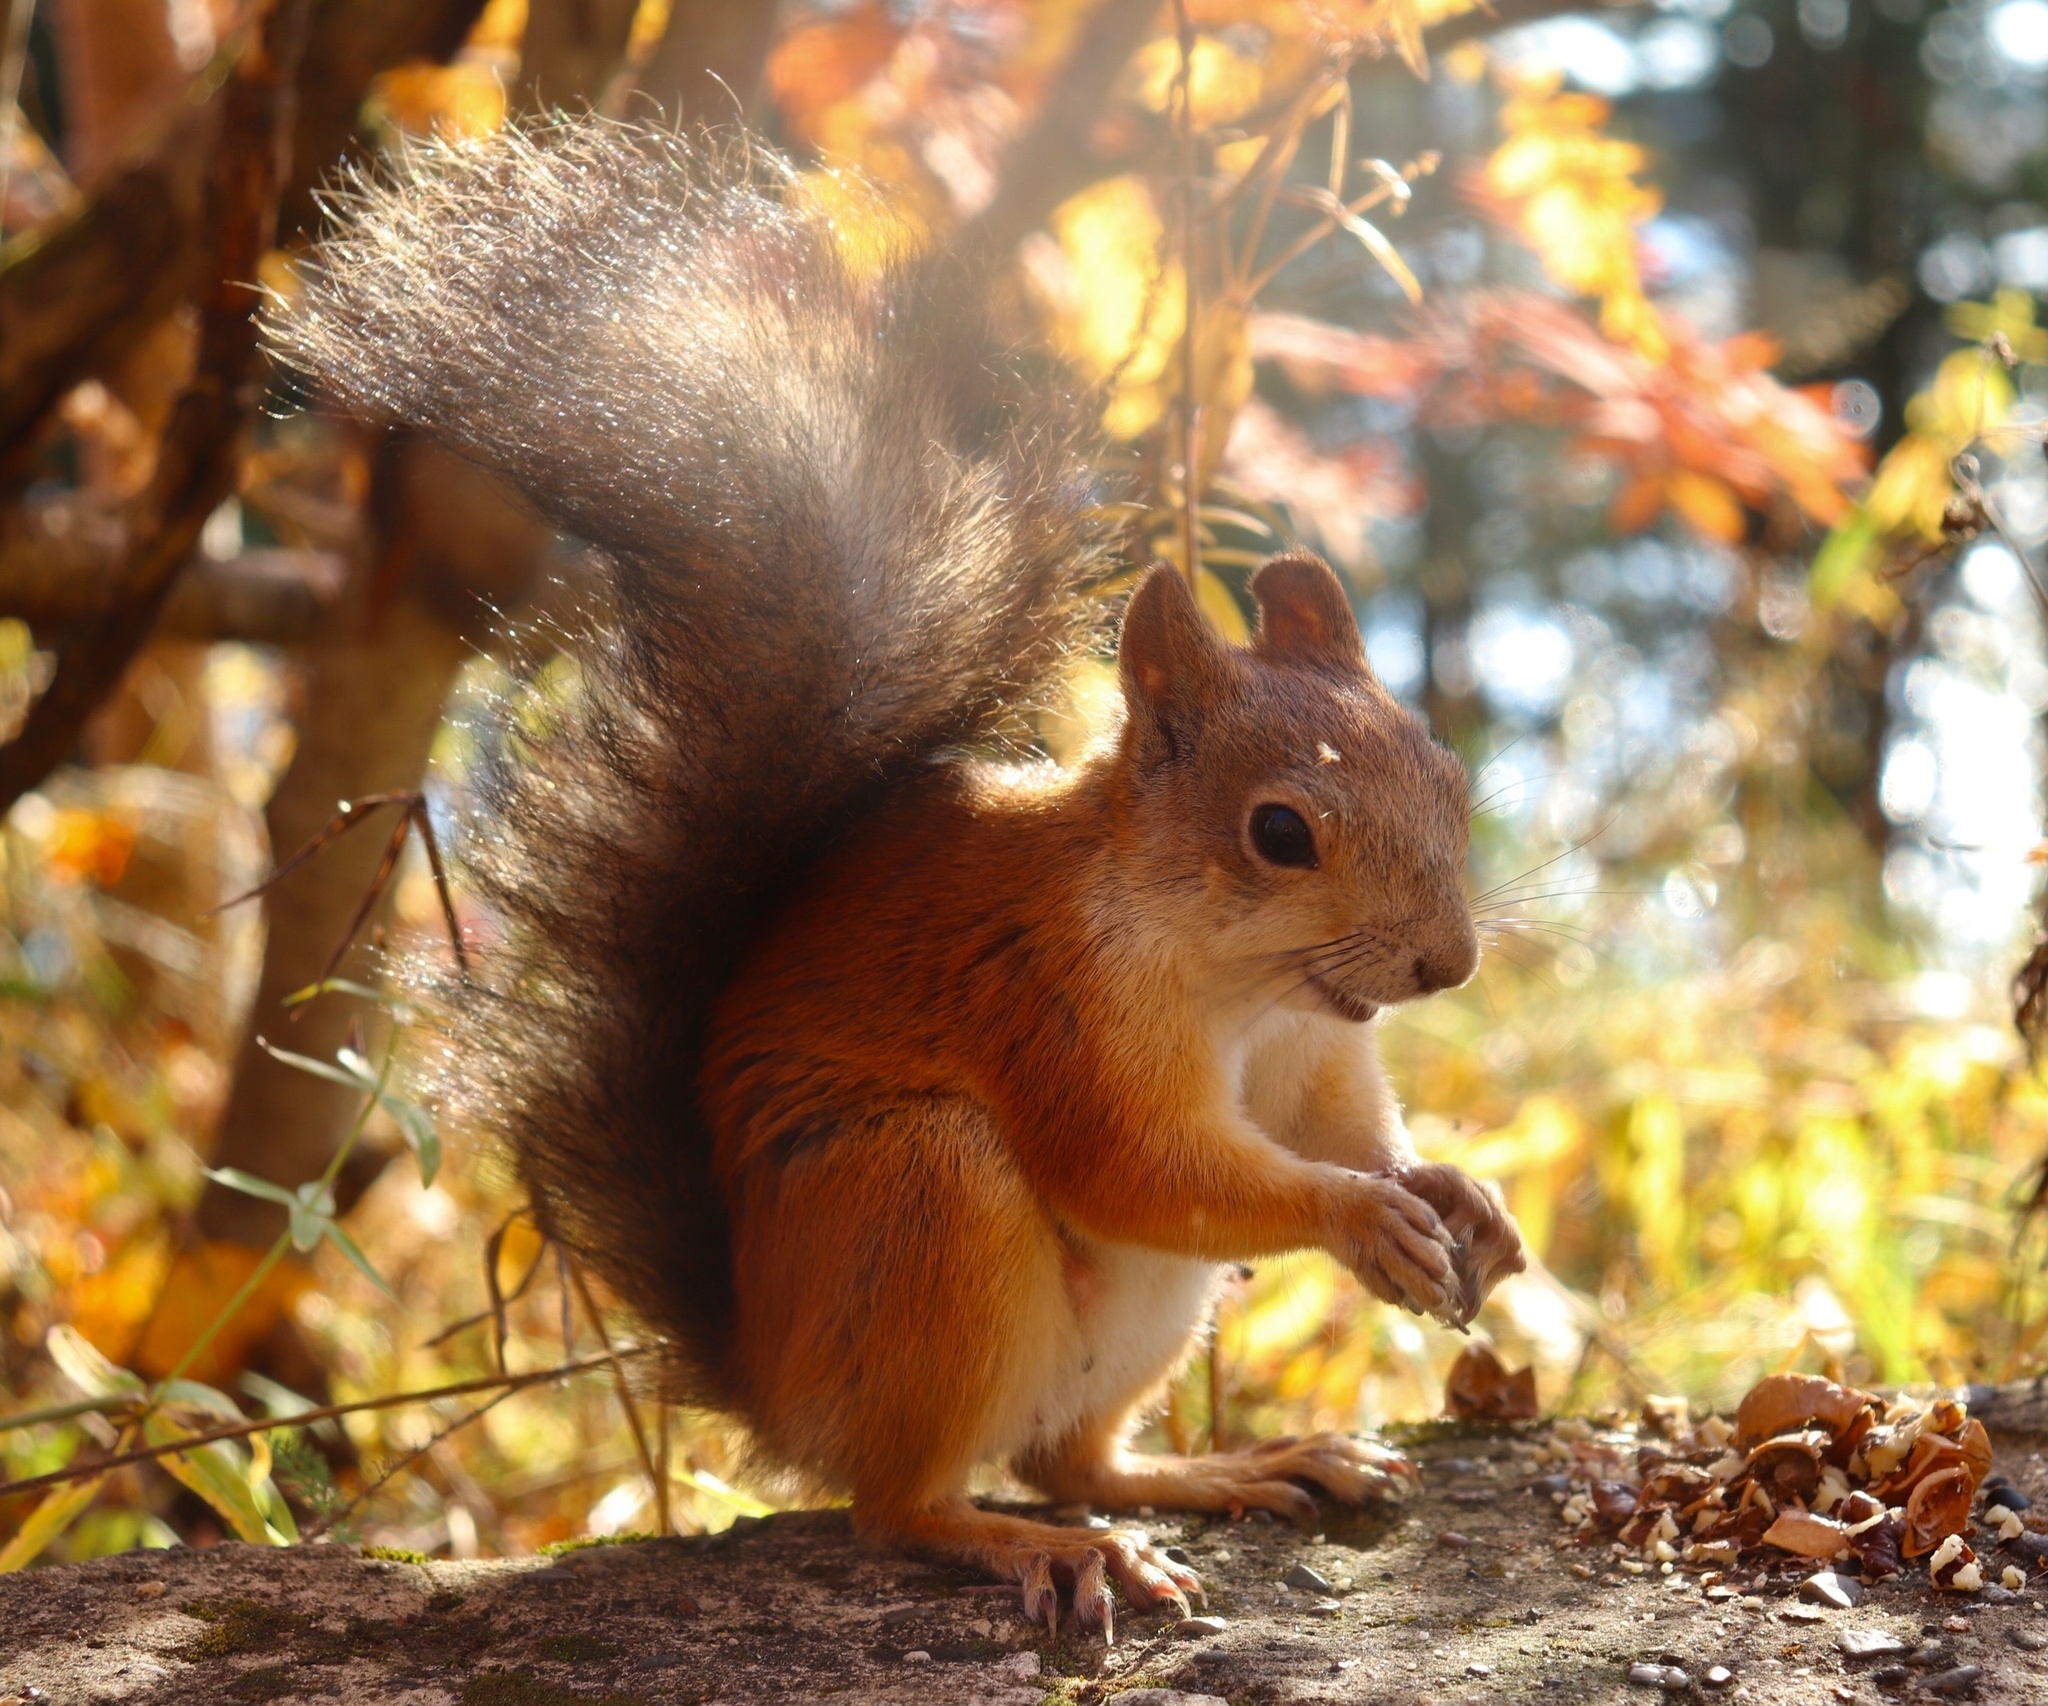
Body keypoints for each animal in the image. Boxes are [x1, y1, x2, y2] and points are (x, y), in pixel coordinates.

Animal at [268, 119, 1523, 1638]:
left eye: (1444, 772)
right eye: (1279, 832)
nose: (1447, 964)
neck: (1244, 984)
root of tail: (779, 1386)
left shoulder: (1315, 1056)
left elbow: (1344, 1127)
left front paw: (1455, 1193)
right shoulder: (1056, 1009)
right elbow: (1140, 1168)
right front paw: (1359, 1218)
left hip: (1138, 1319)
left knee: (1075, 1455)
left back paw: (1231, 1468)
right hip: (921, 1197)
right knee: (906, 1502)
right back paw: (1039, 1546)